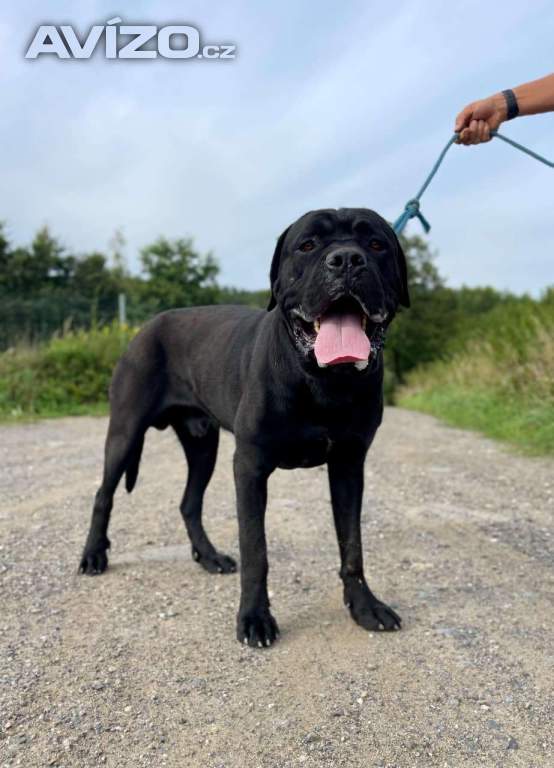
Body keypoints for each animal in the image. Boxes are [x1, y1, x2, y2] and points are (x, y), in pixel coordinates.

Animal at [80, 208, 408, 648]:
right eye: (307, 245)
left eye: (375, 244)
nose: (346, 260)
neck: (324, 381)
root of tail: (144, 327)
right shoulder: (250, 467)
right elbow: (257, 550)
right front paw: (255, 618)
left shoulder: (348, 466)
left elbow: (352, 545)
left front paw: (364, 606)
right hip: (125, 431)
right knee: (104, 494)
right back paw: (93, 555)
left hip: (203, 444)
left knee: (189, 503)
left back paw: (209, 557)